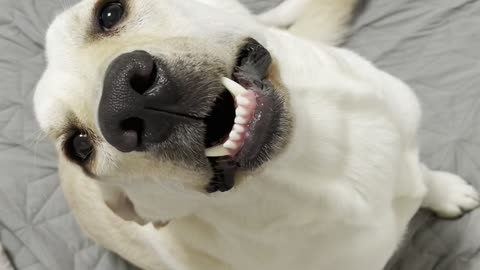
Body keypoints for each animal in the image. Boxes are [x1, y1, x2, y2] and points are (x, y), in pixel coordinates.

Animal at [34, 0, 480, 270]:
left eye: (109, 14)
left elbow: (422, 173)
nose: (125, 102)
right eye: (80, 146)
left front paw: (442, 190)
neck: (321, 160)